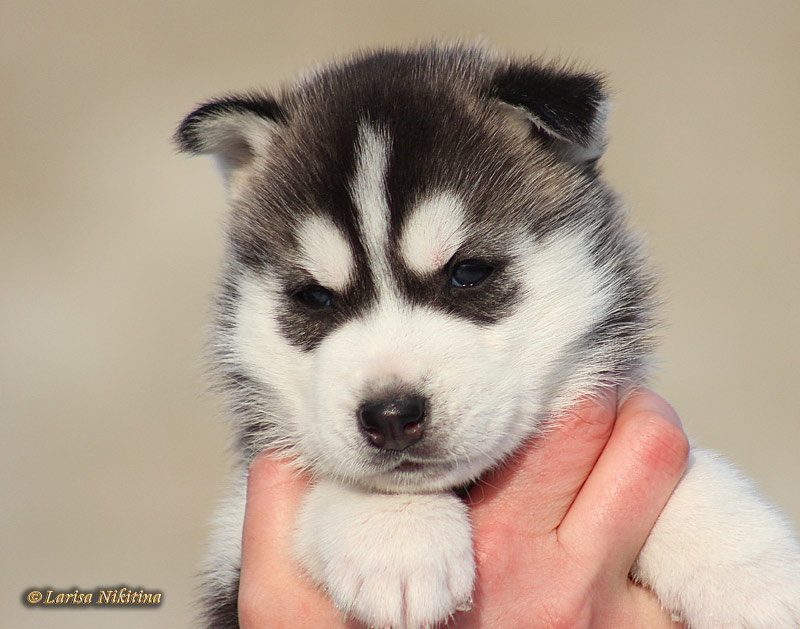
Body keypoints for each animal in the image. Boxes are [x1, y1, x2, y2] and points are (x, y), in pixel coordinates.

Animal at [176, 43, 800, 628]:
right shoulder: (232, 562)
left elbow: (691, 474)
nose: (391, 415)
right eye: (315, 297)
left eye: (468, 272)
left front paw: (752, 570)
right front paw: (396, 536)